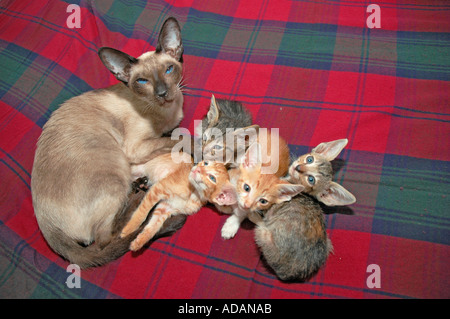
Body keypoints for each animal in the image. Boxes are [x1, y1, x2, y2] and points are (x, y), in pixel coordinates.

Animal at [31, 16, 186, 268]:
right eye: (142, 81)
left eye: (169, 70)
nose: (163, 93)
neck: (168, 111)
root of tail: (47, 228)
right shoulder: (136, 147)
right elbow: (184, 139)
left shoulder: (165, 131)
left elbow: (176, 135)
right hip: (114, 166)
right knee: (105, 238)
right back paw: (140, 197)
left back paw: (139, 186)